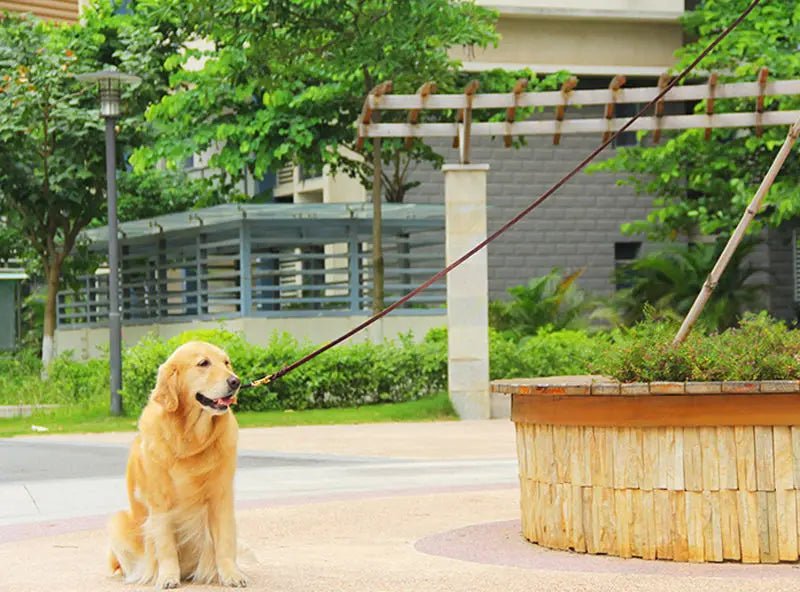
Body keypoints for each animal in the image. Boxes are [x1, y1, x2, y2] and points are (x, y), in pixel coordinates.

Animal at [109, 342, 247, 588]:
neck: (189, 437)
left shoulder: (221, 496)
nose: (236, 381)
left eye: (226, 362)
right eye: (203, 363)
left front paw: (231, 574)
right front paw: (167, 576)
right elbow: (165, 546)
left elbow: (224, 540)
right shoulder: (160, 502)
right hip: (118, 522)